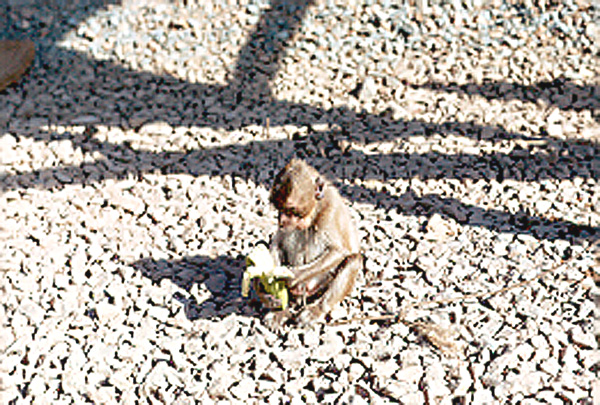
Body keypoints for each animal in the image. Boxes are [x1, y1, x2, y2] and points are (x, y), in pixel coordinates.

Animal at [255, 158, 364, 326]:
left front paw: (292, 276)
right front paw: (266, 283)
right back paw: (280, 309)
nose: (282, 220)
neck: (314, 212)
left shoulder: (330, 210)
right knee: (262, 244)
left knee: (354, 259)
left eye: (291, 210)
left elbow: (339, 251)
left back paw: (316, 309)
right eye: (279, 209)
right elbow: (277, 243)